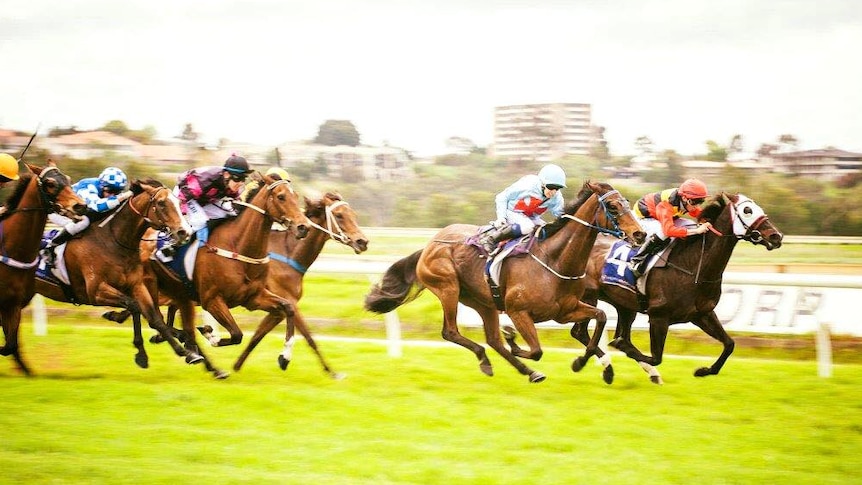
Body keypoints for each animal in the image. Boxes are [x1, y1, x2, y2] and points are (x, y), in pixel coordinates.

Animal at [35, 180, 197, 368]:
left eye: (179, 202)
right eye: (161, 203)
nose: (184, 232)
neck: (113, 242)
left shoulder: (136, 285)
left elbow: (155, 318)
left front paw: (185, 351)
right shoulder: (95, 291)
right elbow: (134, 306)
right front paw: (142, 350)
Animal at [149, 171, 310, 378]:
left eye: (295, 196)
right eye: (281, 196)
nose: (303, 227)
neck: (238, 246)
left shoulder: (253, 298)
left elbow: (288, 307)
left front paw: (285, 357)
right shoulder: (212, 300)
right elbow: (236, 334)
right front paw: (211, 335)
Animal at [362, 181, 644, 382]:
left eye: (627, 202)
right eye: (614, 206)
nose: (639, 234)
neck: (554, 260)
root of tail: (430, 244)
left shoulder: (566, 310)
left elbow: (600, 318)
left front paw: (585, 363)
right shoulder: (518, 311)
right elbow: (537, 349)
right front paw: (516, 341)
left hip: (483, 301)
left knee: (492, 339)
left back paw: (527, 371)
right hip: (448, 287)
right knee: (451, 331)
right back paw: (488, 361)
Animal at [572, 191, 788, 384]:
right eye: (747, 210)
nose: (776, 236)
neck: (694, 266)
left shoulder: (702, 314)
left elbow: (730, 344)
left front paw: (703, 371)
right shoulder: (659, 317)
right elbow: (654, 356)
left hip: (624, 305)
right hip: (588, 297)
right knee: (580, 332)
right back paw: (595, 365)